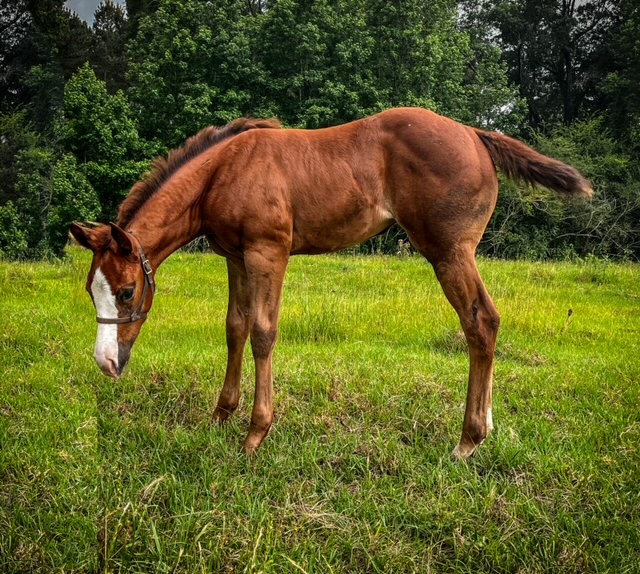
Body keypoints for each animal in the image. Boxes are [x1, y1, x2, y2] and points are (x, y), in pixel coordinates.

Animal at [71, 107, 592, 460]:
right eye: (92, 290)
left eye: (126, 291)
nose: (105, 362)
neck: (223, 172)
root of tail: (474, 134)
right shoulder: (236, 258)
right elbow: (235, 328)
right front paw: (221, 415)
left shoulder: (268, 252)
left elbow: (263, 333)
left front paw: (256, 433)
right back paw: (484, 428)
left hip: (450, 252)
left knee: (480, 322)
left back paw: (467, 440)